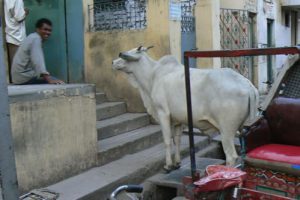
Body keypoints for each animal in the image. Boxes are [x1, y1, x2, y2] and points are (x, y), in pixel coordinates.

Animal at [112, 46, 258, 171]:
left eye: (128, 55)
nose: (113, 62)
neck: (152, 76)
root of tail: (248, 85)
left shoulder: (162, 112)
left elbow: (167, 140)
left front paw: (168, 165)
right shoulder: (178, 120)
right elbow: (177, 140)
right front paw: (177, 163)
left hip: (226, 130)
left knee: (231, 156)